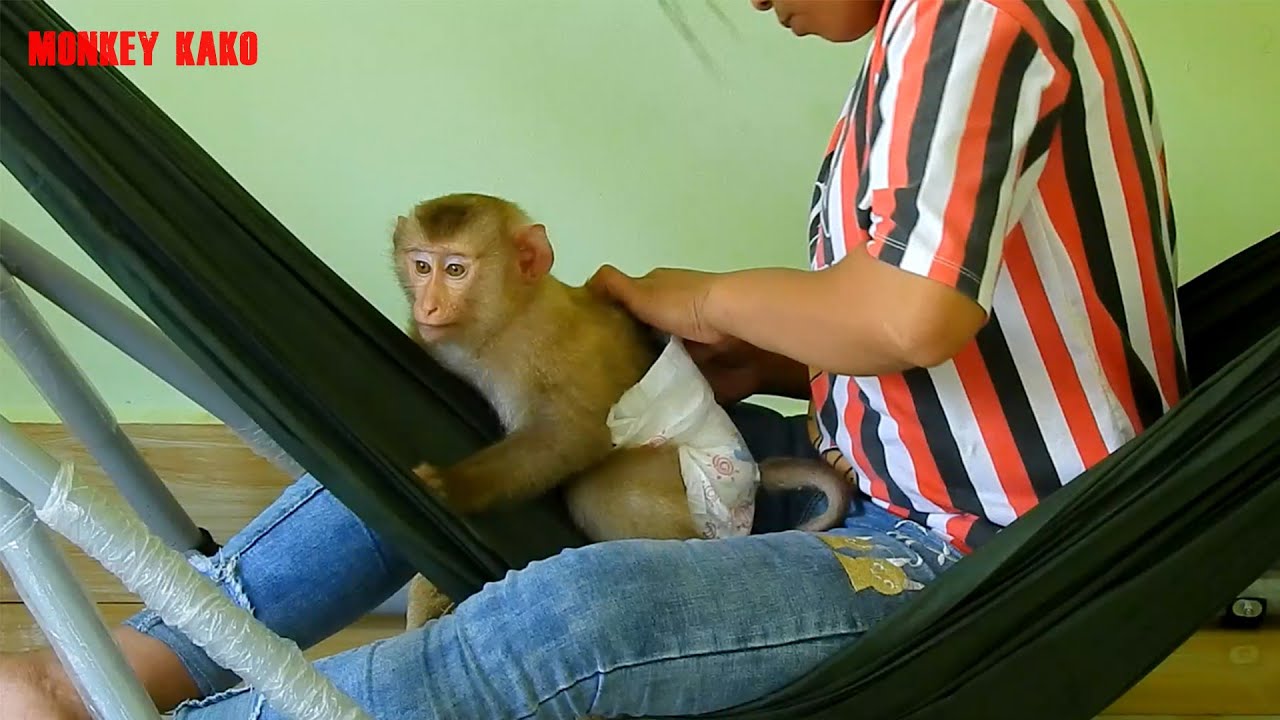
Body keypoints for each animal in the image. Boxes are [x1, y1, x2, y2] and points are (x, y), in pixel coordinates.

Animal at [392, 192, 853, 628]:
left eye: (455, 270)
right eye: (421, 266)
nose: (427, 307)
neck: (504, 320)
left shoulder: (543, 348)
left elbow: (574, 433)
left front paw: (454, 485)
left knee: (601, 492)